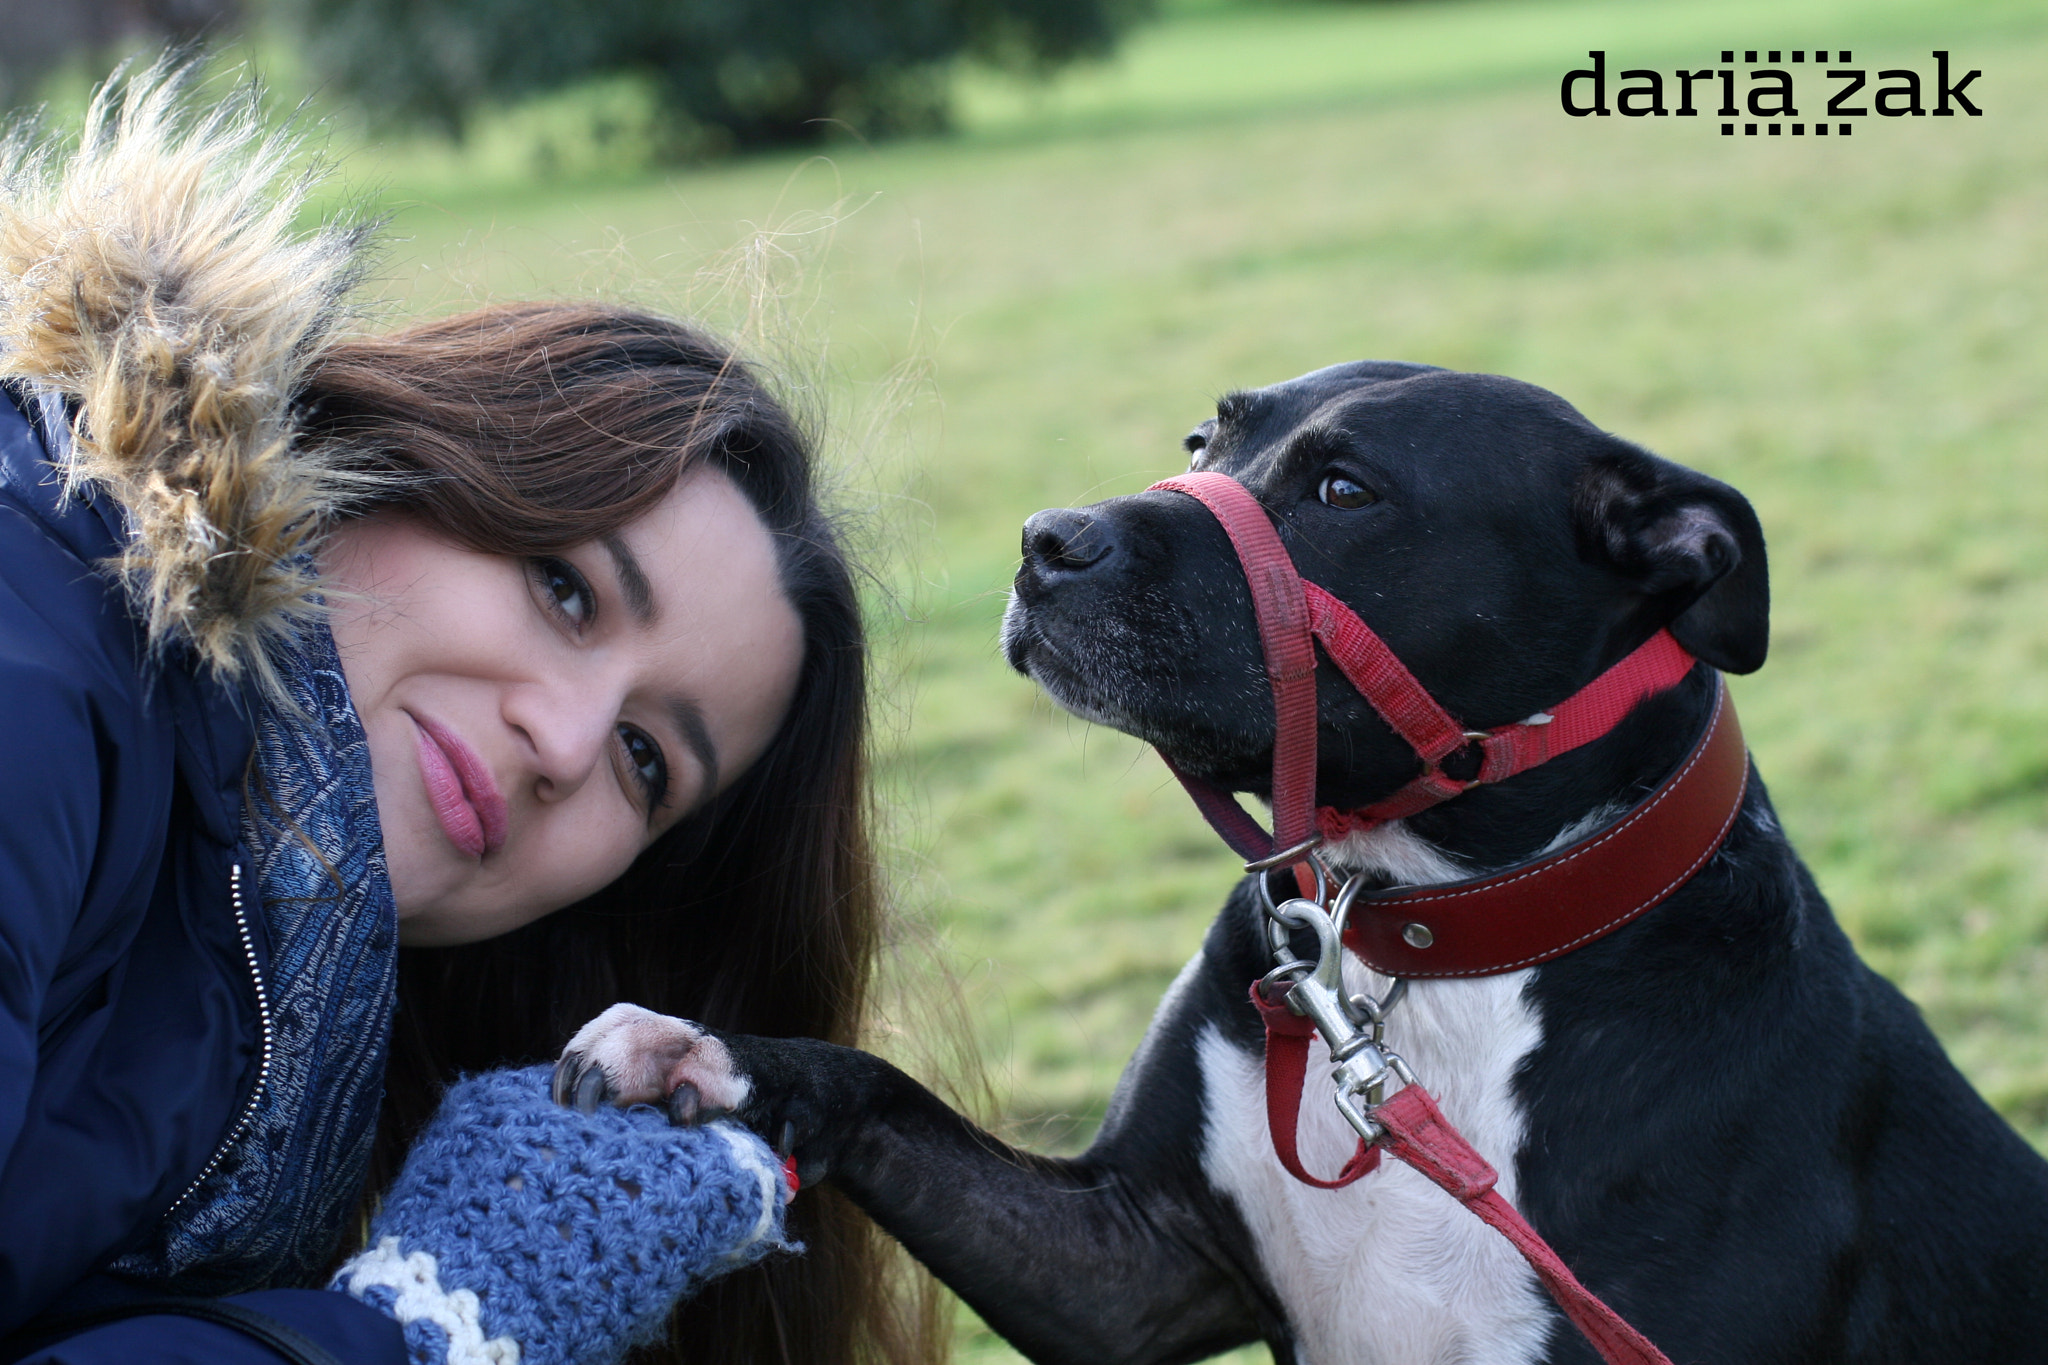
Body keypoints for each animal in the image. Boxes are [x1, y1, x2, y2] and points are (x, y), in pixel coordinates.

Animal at [557, 366, 2048, 1365]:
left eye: (1344, 491)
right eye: (1203, 438)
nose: (1045, 540)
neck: (1433, 936)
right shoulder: (1128, 1259)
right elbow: (883, 1092)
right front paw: (704, 1052)